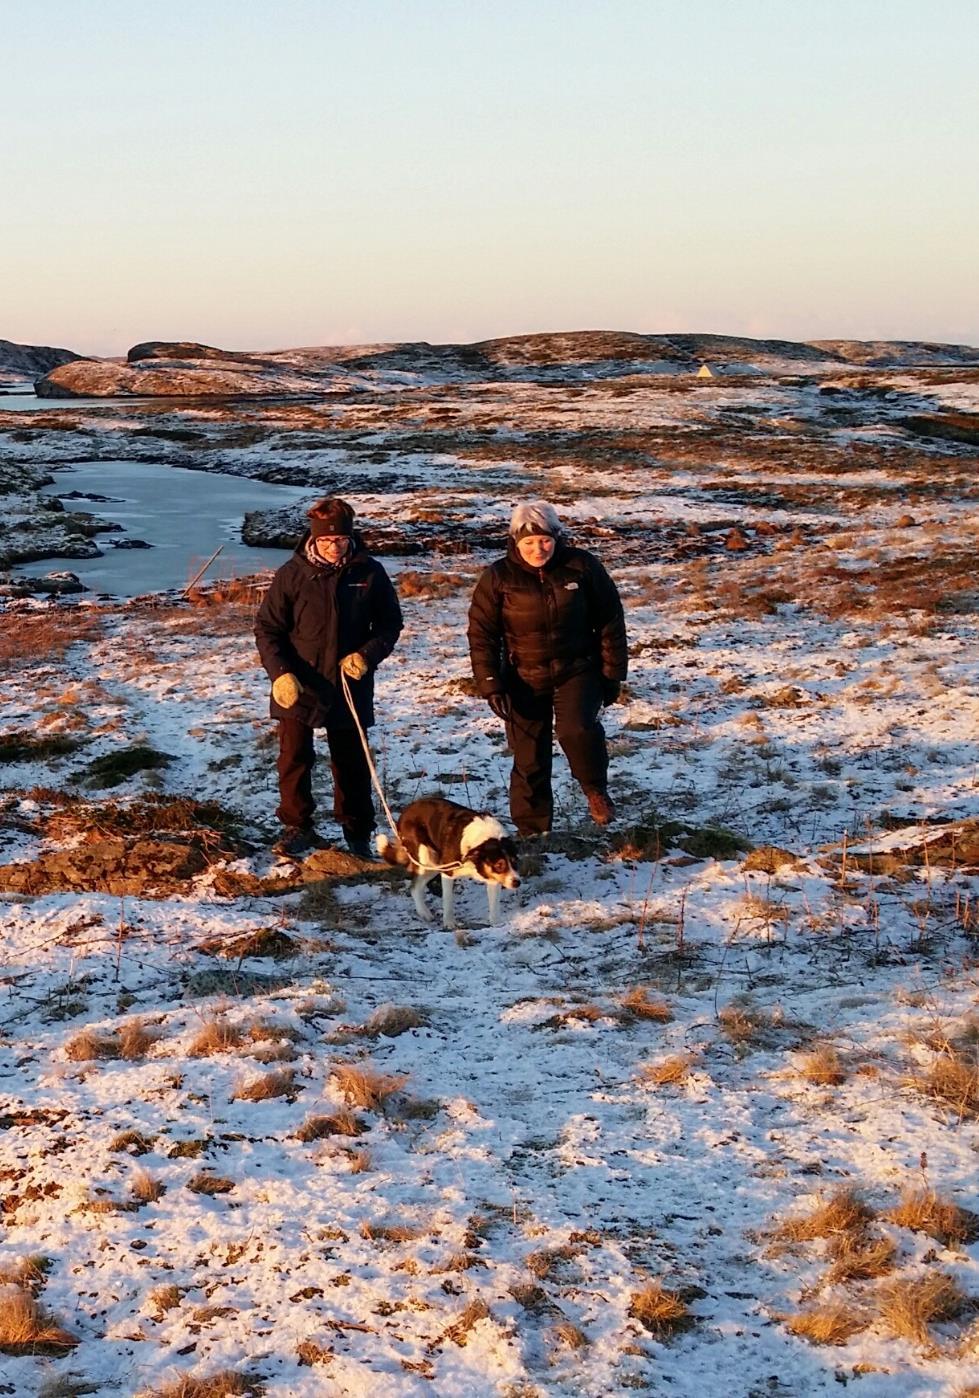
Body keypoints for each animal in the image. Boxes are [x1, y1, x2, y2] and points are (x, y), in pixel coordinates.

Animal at [374, 799, 520, 928]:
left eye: (515, 862)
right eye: (499, 865)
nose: (517, 882)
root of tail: (406, 810)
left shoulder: (493, 878)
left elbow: (494, 905)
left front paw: (497, 924)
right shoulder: (448, 872)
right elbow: (448, 901)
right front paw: (449, 923)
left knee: (416, 887)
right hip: (427, 859)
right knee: (415, 886)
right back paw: (424, 913)